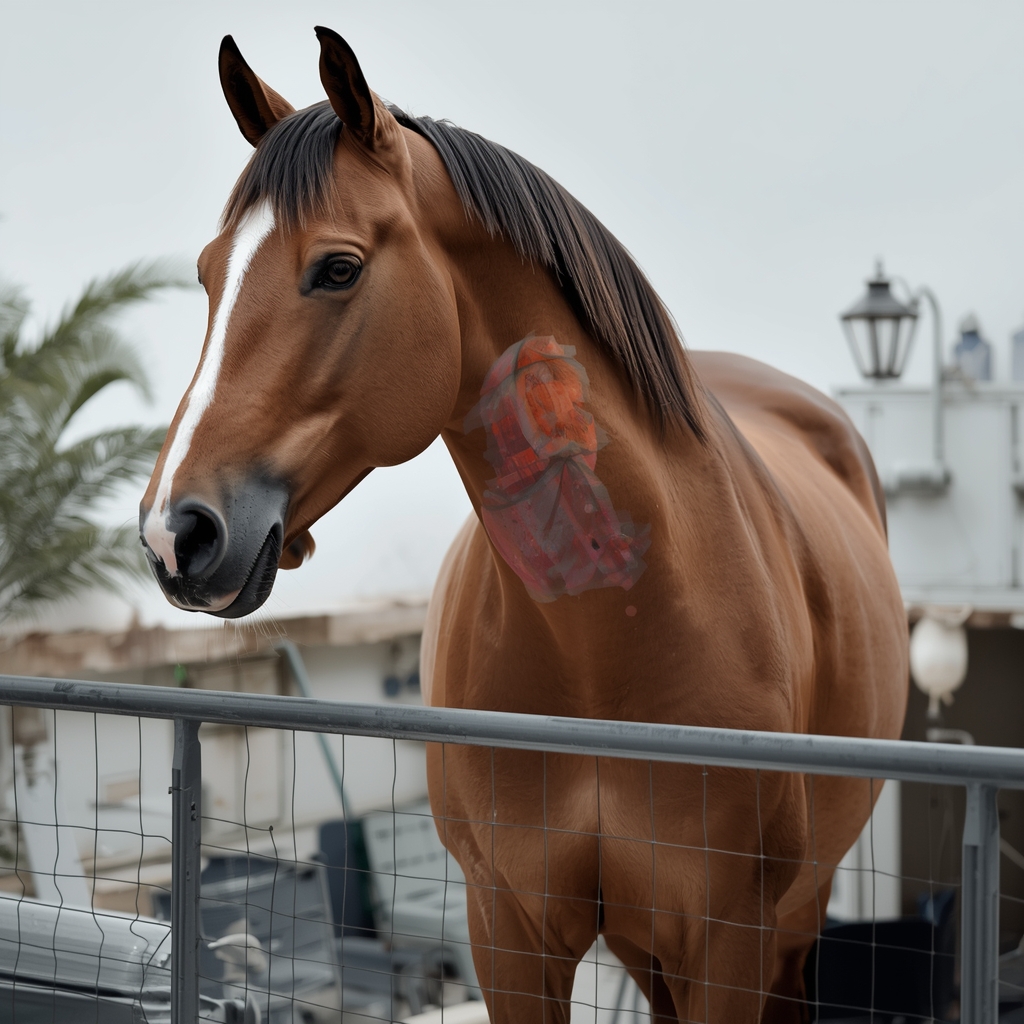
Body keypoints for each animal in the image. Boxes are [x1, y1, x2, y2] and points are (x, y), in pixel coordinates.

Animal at [139, 28, 908, 1023]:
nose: (176, 532)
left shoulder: (729, 942)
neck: (608, 641)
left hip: (790, 922)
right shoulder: (507, 927)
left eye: (338, 268)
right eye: (206, 273)